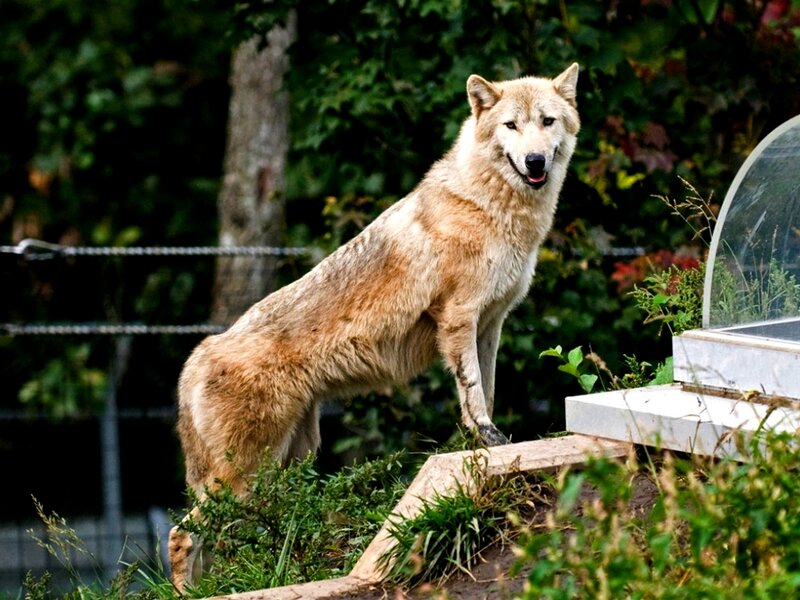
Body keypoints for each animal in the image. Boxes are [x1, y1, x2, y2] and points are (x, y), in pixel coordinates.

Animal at [168, 63, 580, 591]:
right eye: (511, 125)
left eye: (547, 122)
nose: (534, 160)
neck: (490, 207)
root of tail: (196, 357)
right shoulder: (459, 320)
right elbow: (472, 392)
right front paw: (488, 440)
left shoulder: (491, 323)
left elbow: (485, 391)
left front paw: (489, 444)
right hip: (246, 479)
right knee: (182, 534)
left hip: (289, 464)